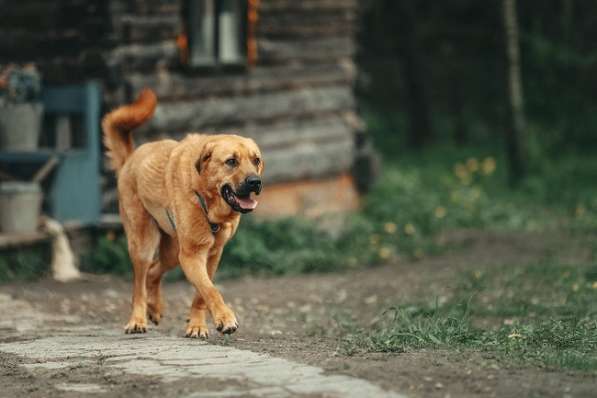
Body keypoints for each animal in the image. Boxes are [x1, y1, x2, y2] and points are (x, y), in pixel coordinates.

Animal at [102, 88, 264, 338]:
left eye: (256, 160)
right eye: (231, 161)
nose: (256, 182)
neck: (205, 198)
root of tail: (130, 158)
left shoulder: (212, 254)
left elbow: (202, 294)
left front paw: (197, 324)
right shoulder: (192, 255)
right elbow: (210, 289)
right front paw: (225, 318)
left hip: (172, 252)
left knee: (154, 272)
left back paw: (155, 308)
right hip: (144, 244)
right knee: (139, 284)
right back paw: (138, 319)